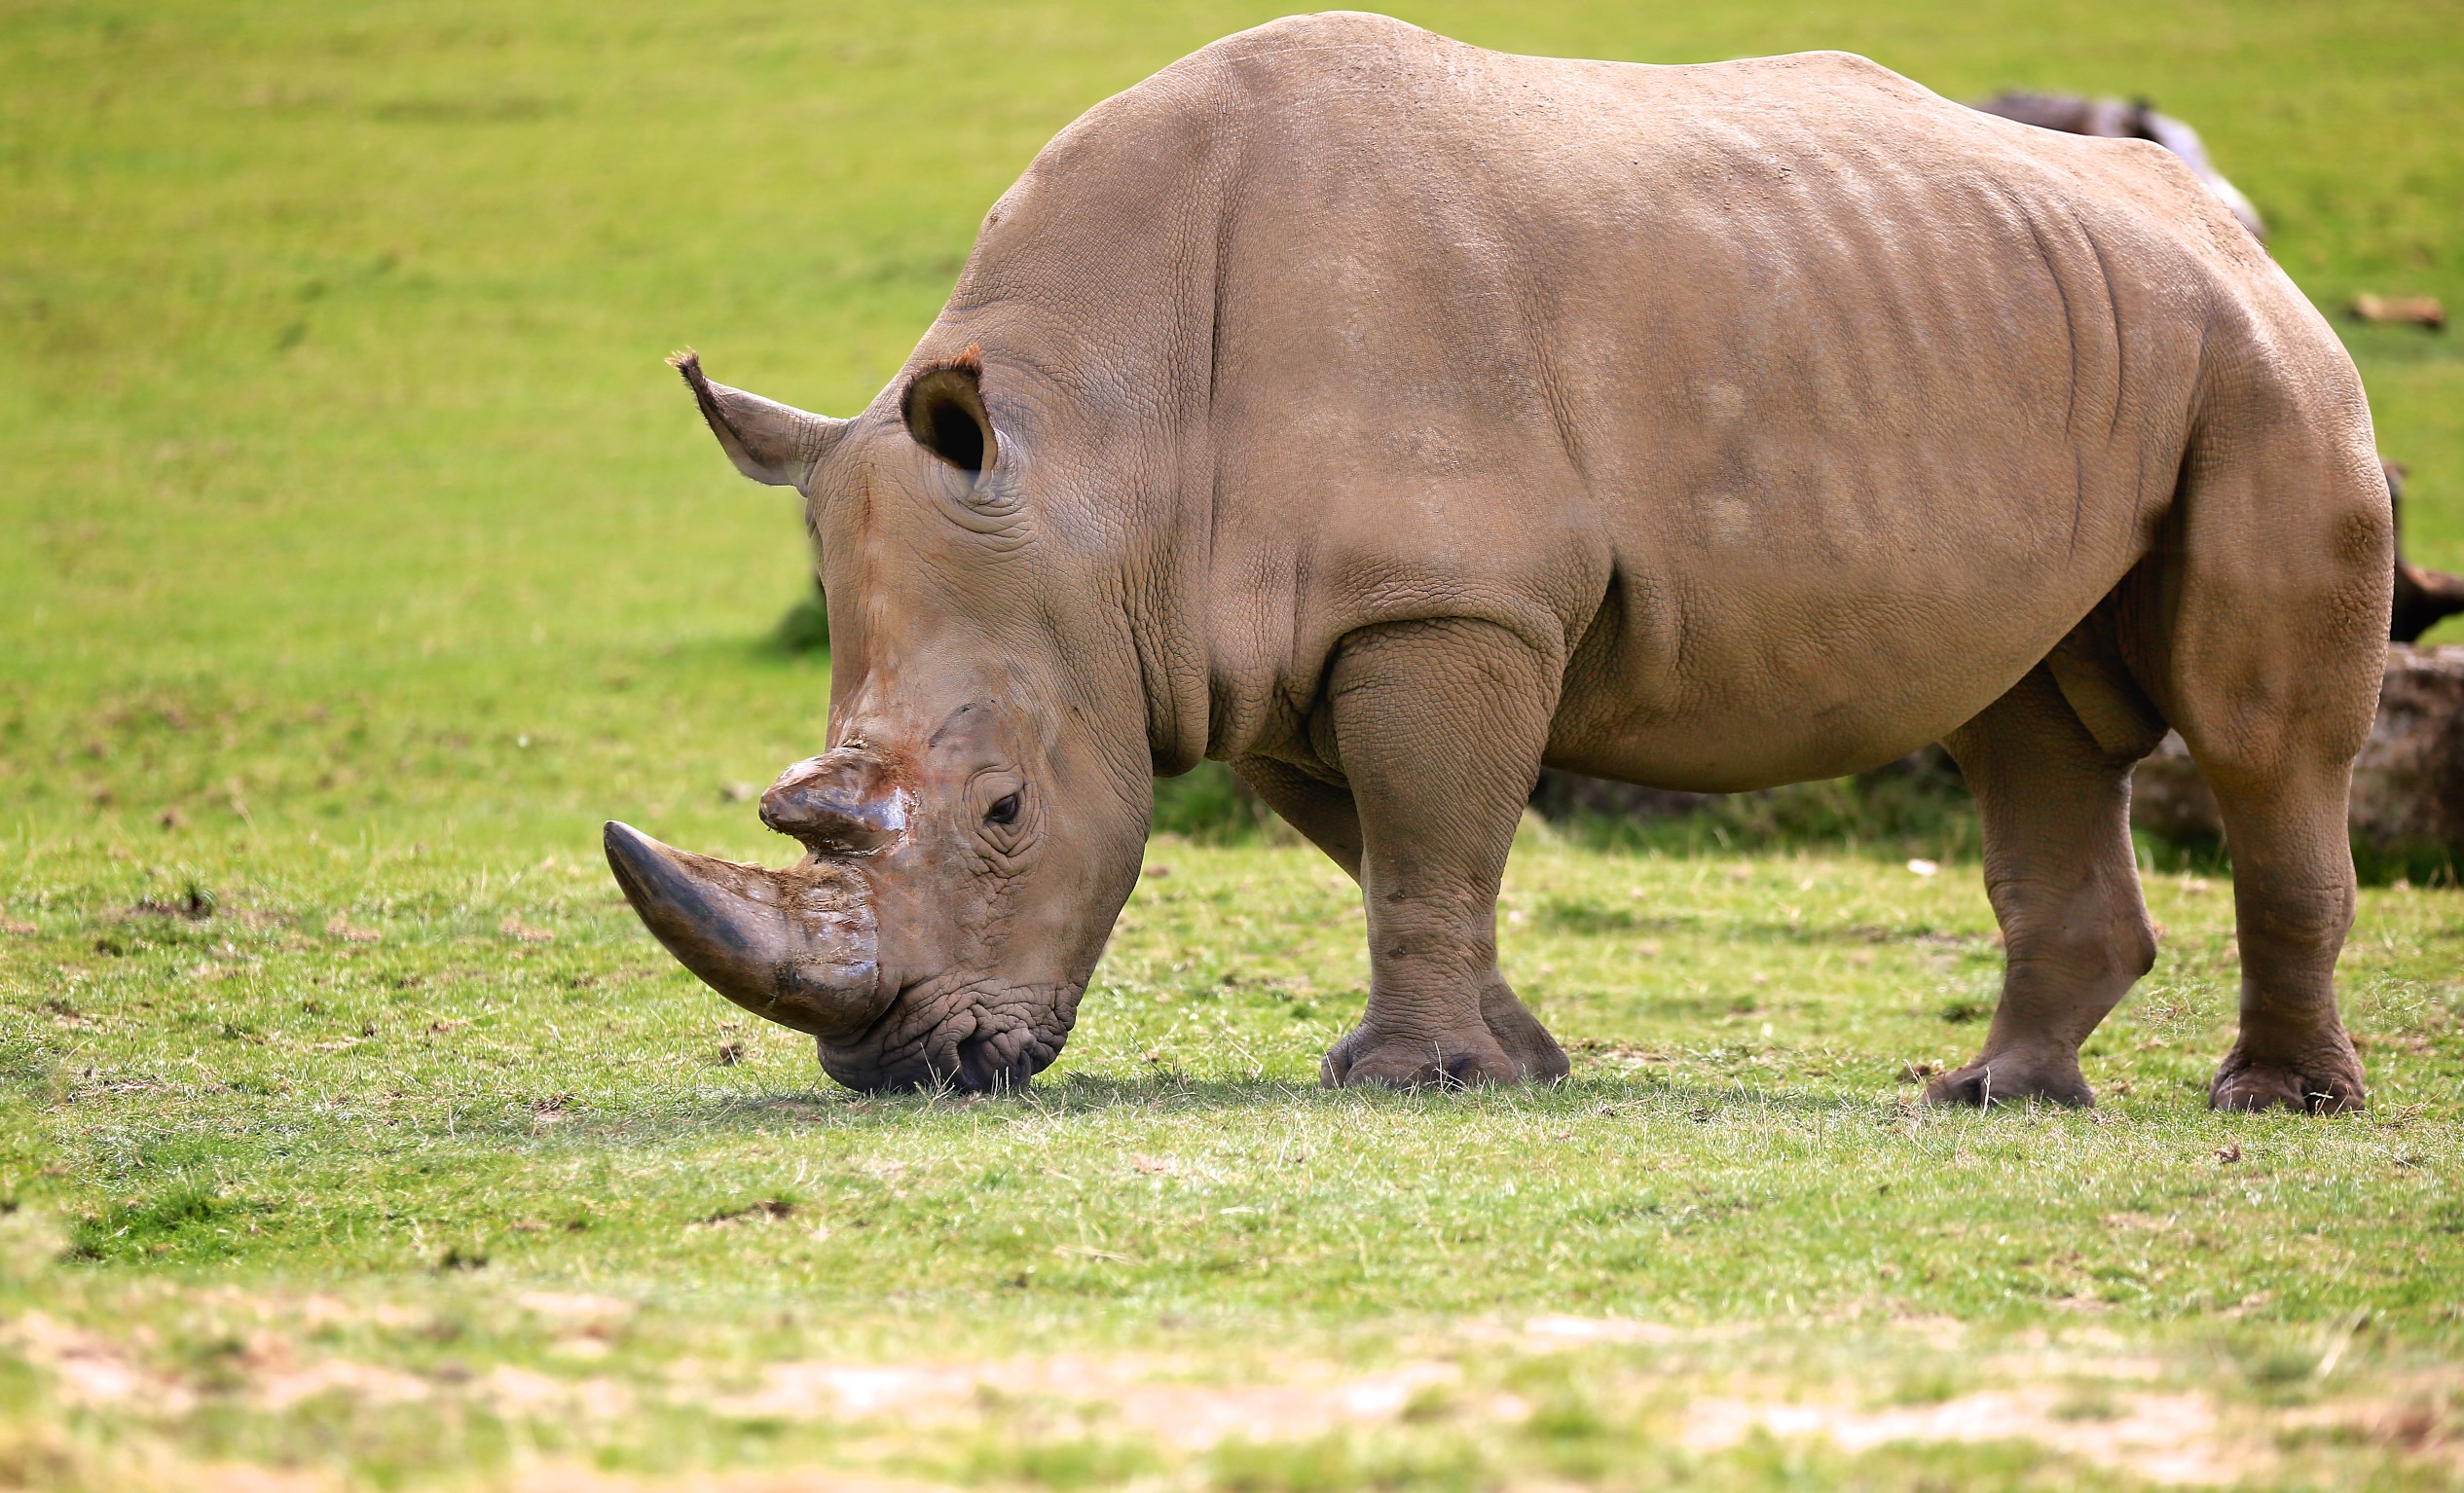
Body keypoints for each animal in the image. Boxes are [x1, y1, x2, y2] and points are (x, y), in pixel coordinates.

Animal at [606, 9, 2395, 1113]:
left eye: (1000, 812)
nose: (905, 1062)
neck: (1095, 459)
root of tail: (2226, 223)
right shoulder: (1254, 637)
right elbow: (1393, 843)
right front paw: (1513, 1060)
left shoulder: (1439, 599)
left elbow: (1423, 837)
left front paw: (1408, 1077)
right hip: (2071, 336)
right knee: (2020, 712)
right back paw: (1994, 1094)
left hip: (2263, 369)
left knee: (2250, 731)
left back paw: (2273, 1100)